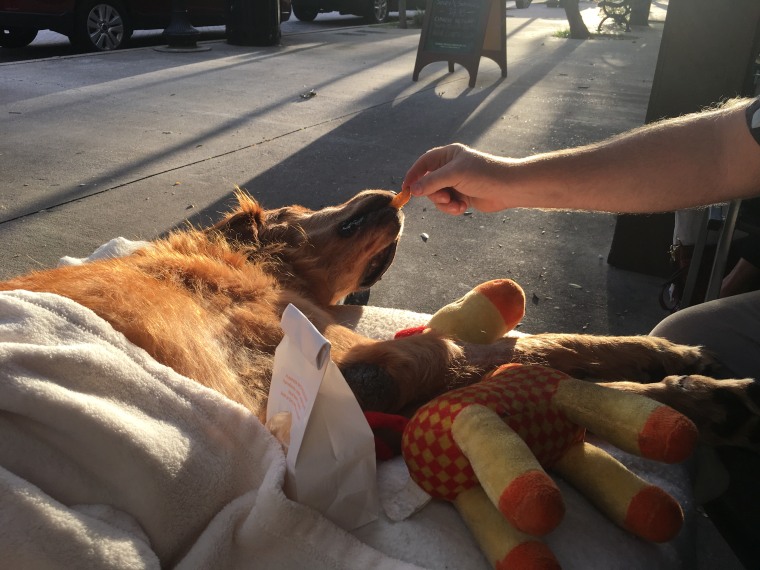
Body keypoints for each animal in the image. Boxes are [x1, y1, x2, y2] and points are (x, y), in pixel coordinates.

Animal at [2, 190, 756, 448]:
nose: (388, 201)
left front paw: (684, 368)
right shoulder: (373, 359)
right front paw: (691, 377)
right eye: (294, 210)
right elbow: (547, 349)